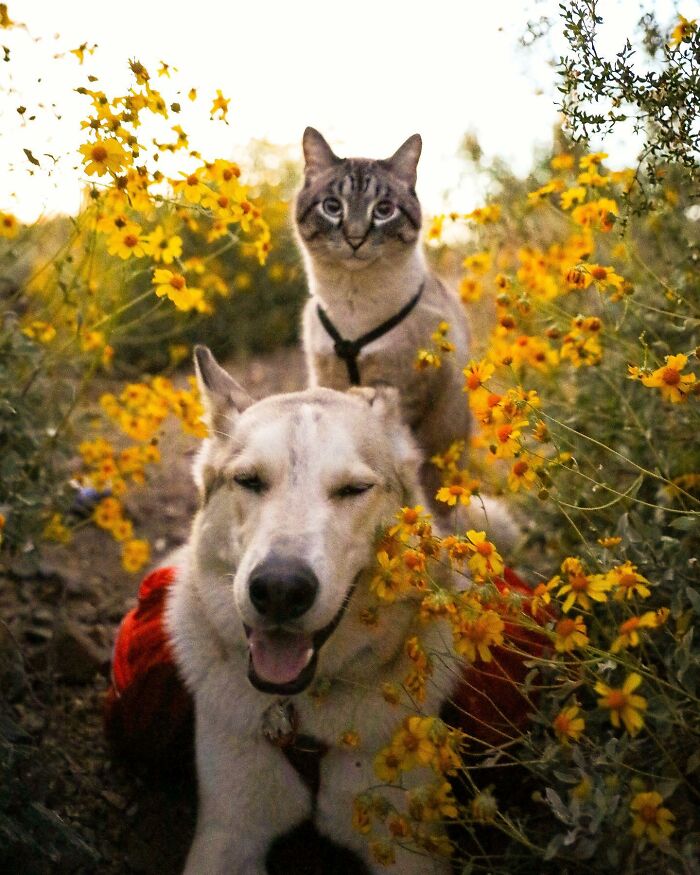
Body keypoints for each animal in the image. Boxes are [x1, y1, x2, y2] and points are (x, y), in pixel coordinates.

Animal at [166, 350, 456, 875]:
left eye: (354, 489)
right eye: (249, 481)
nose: (280, 589)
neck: (301, 716)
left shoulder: (411, 848)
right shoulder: (228, 831)